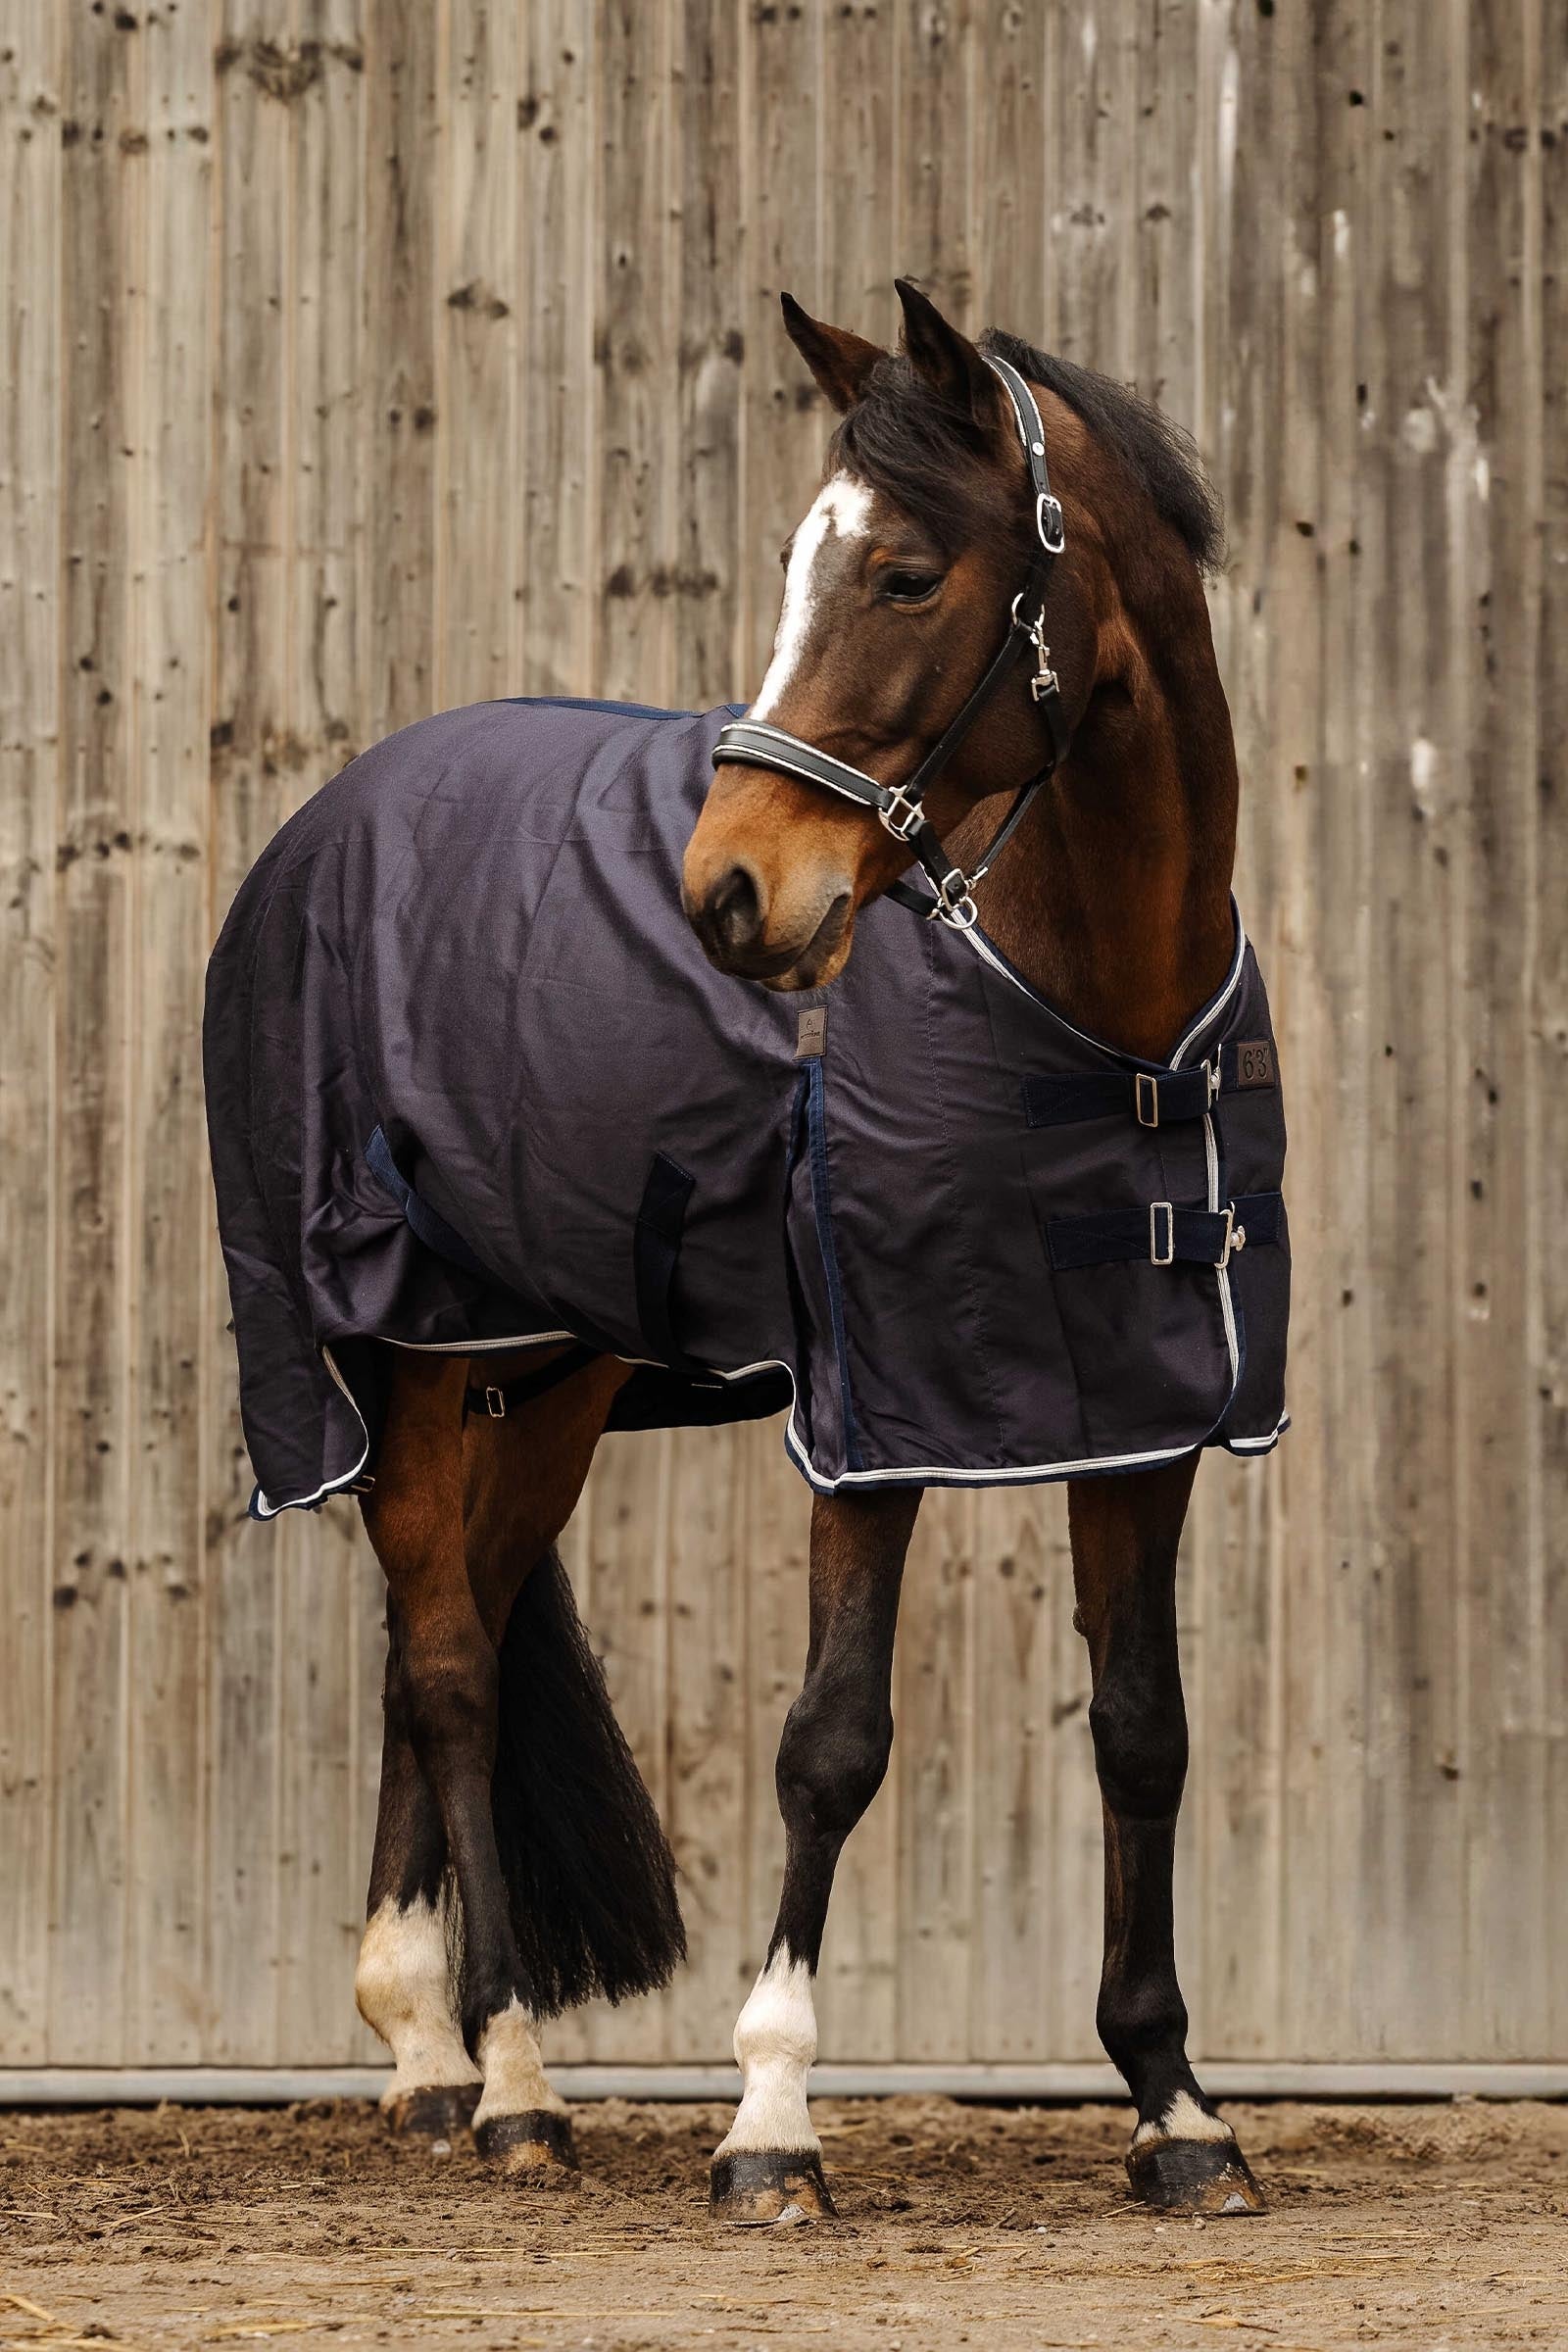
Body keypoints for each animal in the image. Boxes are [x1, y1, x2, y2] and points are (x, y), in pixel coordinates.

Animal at [204, 278, 1283, 2222]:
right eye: (802, 561)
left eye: (909, 575)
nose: (730, 895)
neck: (1101, 1017)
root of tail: (333, 822)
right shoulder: (876, 1418)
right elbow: (832, 1740)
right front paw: (771, 2116)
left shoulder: (1143, 1415)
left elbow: (1143, 1729)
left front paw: (1176, 2108)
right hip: (411, 1358)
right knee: (451, 1667)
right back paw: (507, 2078)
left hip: (551, 1376)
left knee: (440, 1638)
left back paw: (422, 2054)